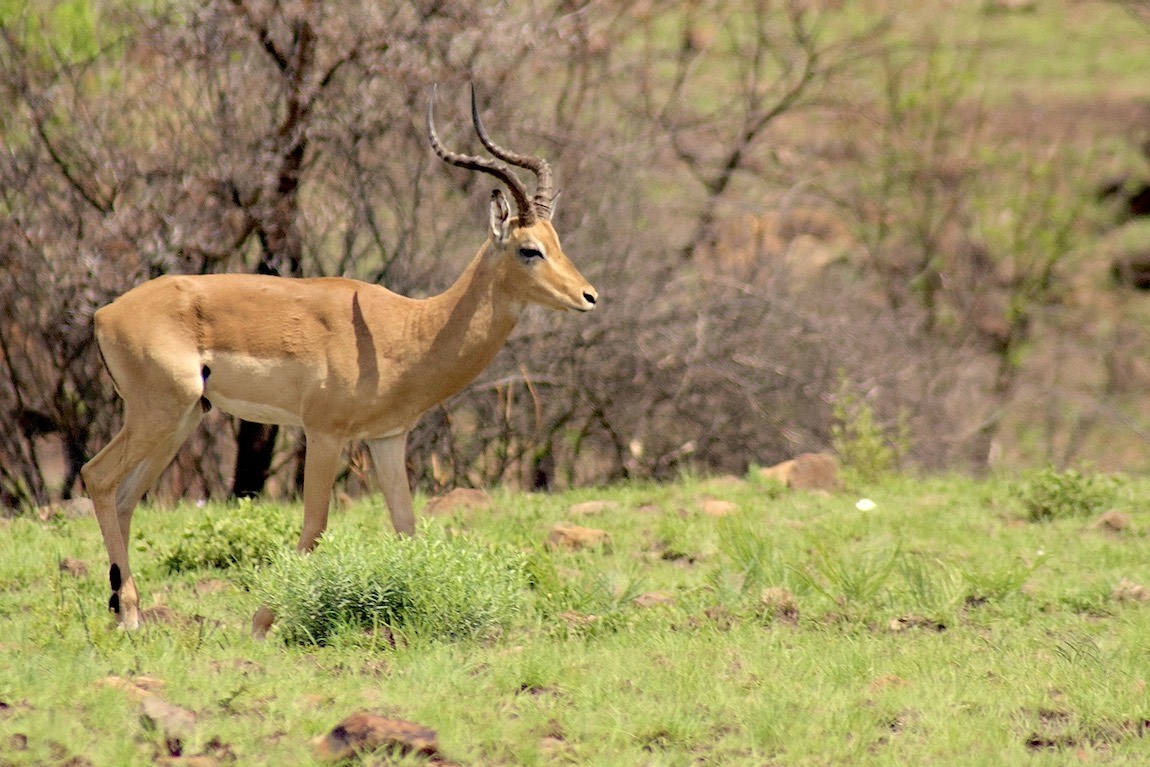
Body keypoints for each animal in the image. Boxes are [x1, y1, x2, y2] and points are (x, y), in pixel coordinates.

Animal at [80, 86, 598, 634]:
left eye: (557, 242)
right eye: (529, 249)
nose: (589, 296)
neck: (411, 328)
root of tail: (104, 313)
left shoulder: (387, 438)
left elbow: (406, 525)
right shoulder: (324, 432)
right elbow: (316, 524)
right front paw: (261, 623)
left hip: (181, 420)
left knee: (124, 496)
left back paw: (130, 612)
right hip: (159, 414)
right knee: (98, 477)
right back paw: (128, 614)